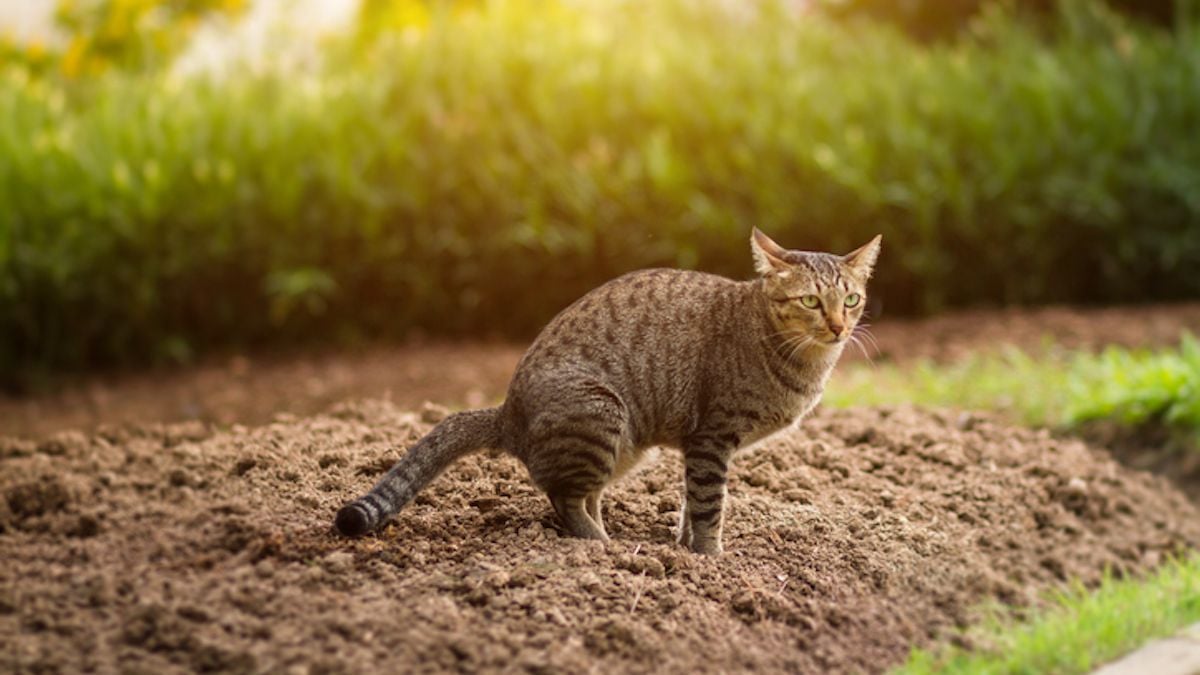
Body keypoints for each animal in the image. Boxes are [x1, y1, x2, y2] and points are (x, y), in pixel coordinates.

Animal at [338, 228, 883, 554]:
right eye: (810, 301)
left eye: (852, 299)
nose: (839, 327)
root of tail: (507, 412)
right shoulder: (711, 438)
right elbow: (710, 505)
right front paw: (711, 558)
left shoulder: (698, 448)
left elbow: (691, 505)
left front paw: (684, 547)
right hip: (601, 413)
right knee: (563, 497)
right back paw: (601, 546)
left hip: (625, 446)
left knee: (583, 493)